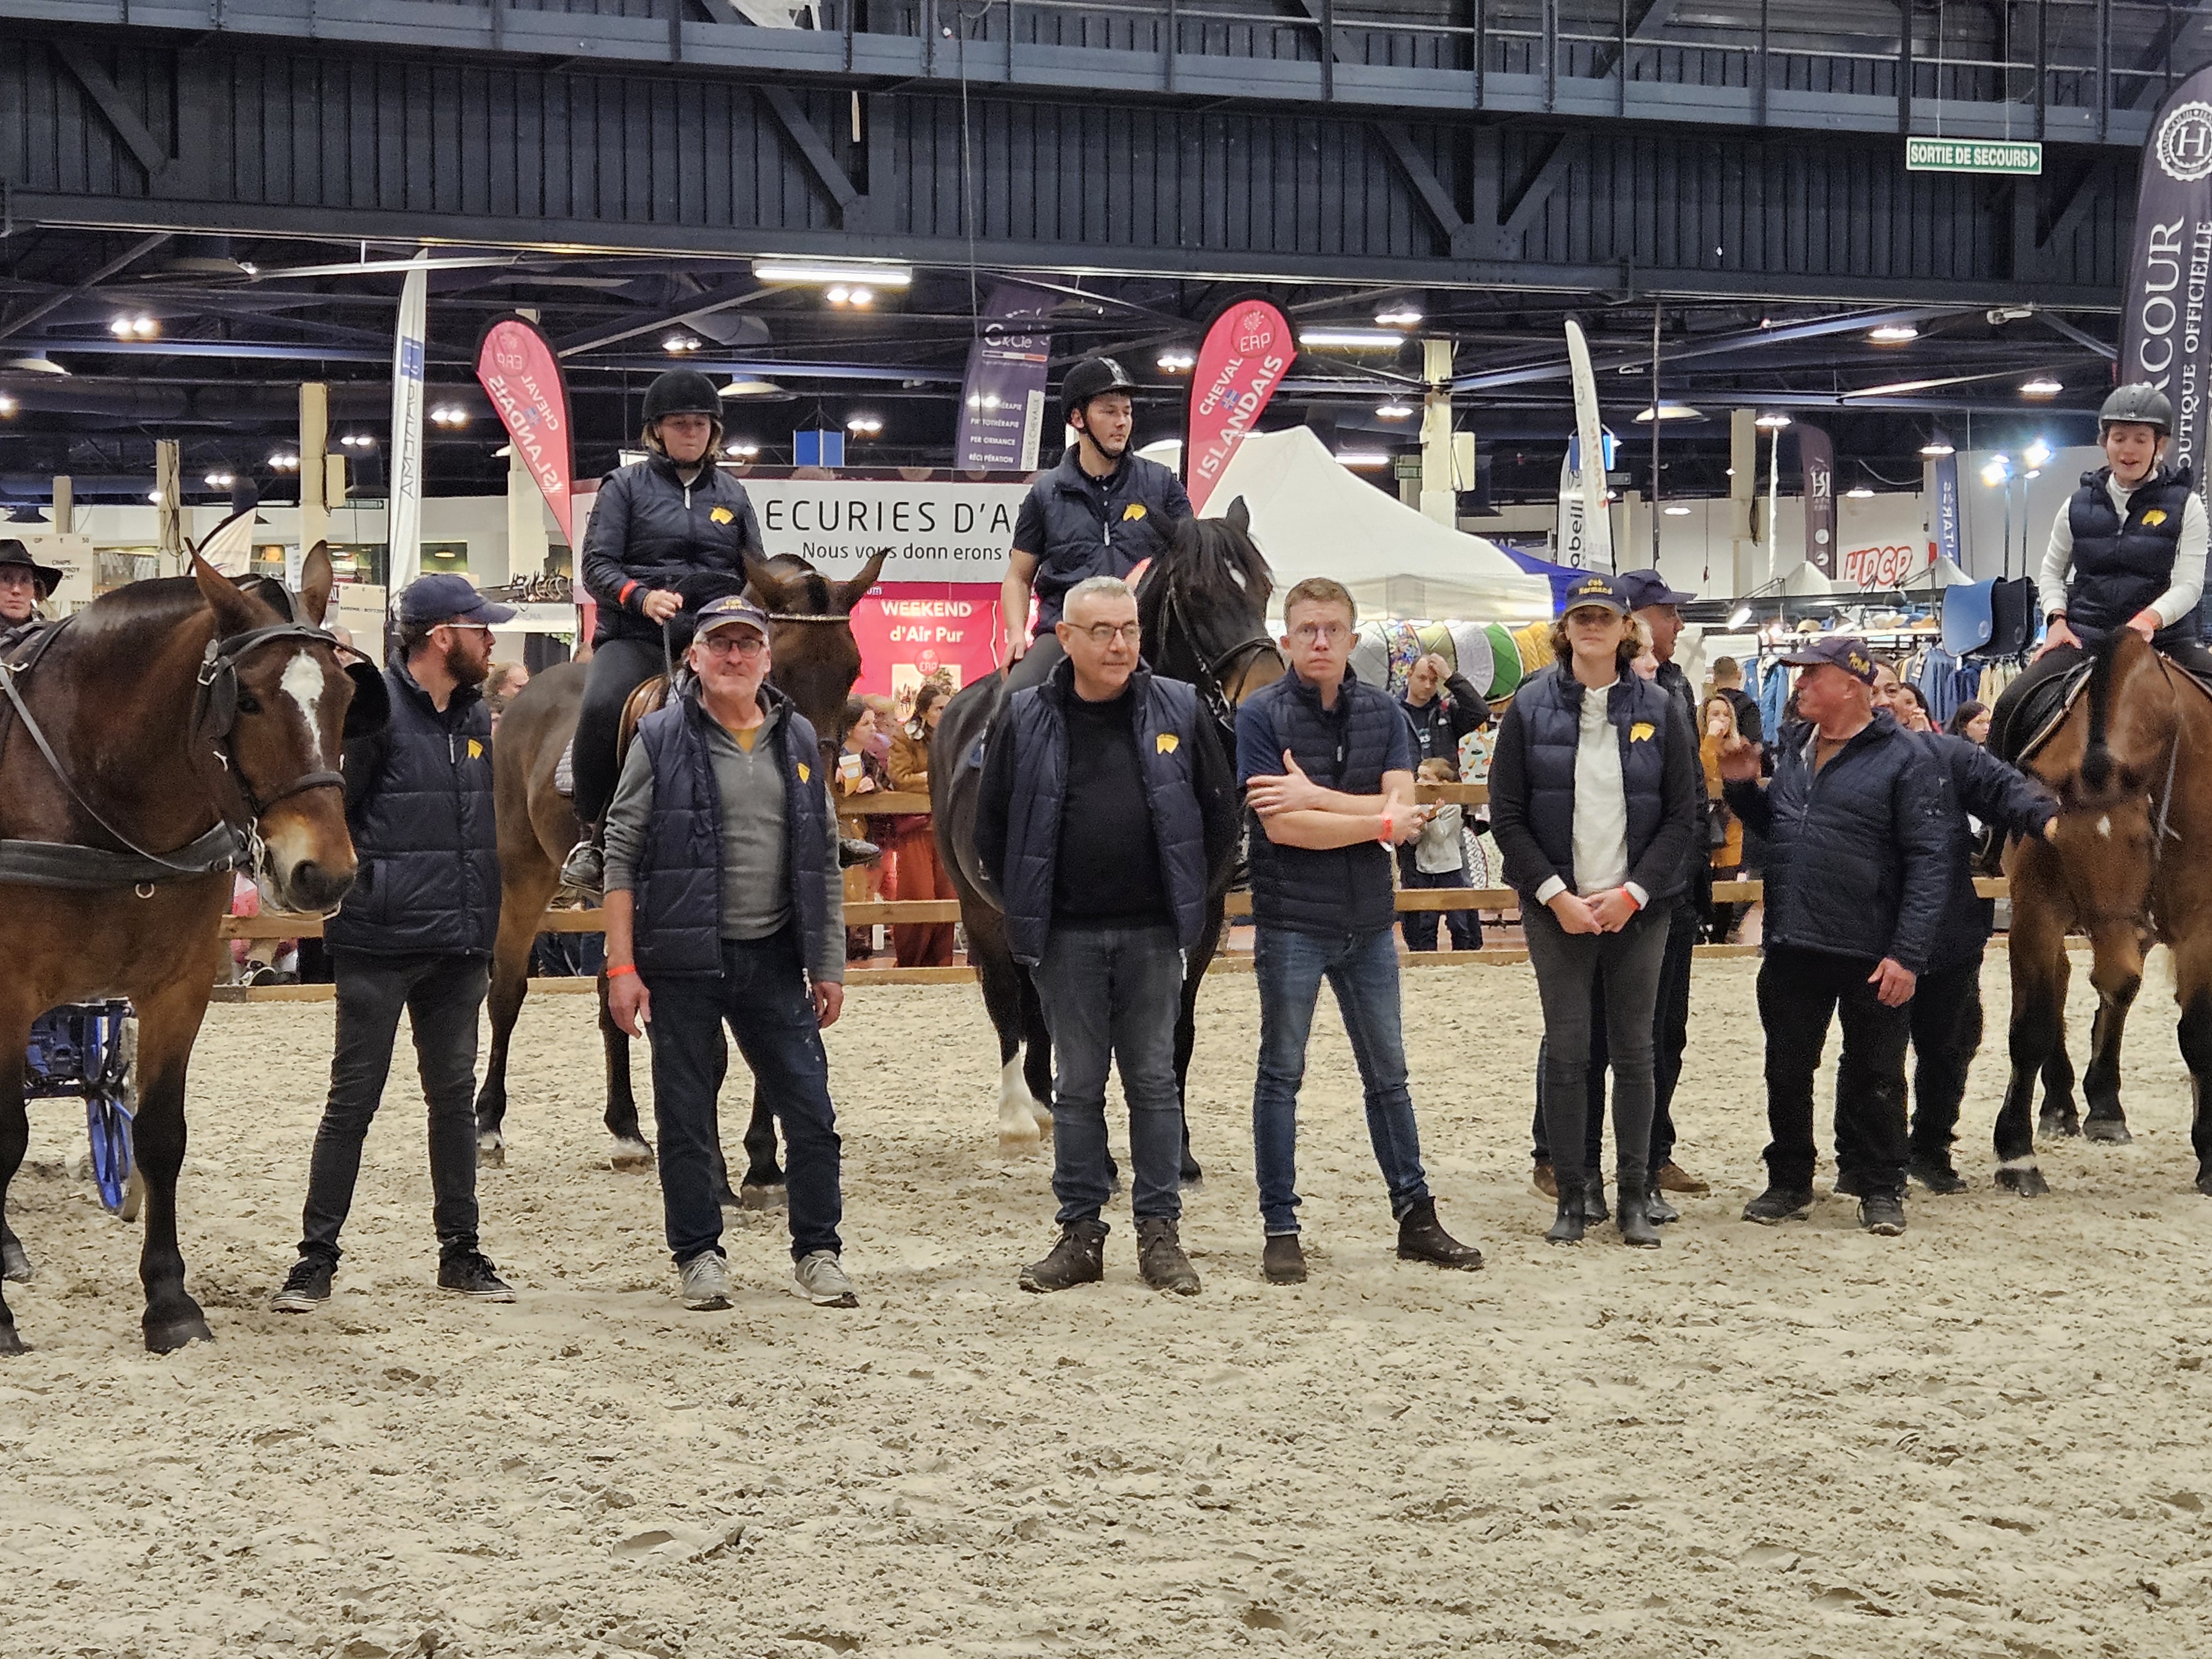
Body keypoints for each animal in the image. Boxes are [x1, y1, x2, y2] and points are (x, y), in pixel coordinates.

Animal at [2, 553, 363, 1354]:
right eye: (248, 701)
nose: (322, 873)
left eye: (346, 693)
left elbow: (161, 1138)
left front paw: (169, 1304)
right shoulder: (6, 995)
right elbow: (3, 1136)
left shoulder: (178, 988)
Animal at [471, 549, 885, 1186]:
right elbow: (709, 1048)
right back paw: (489, 1125)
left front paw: (763, 1162)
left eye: (853, 670)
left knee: (608, 998)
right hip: (523, 877)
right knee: (508, 991)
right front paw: (718, 1169)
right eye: (783, 666)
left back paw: (628, 1131)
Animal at [929, 500, 1283, 1159]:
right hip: (979, 906)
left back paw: (1043, 1103)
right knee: (1006, 999)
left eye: (1265, 590)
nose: (1262, 694)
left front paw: (1180, 1150)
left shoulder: (1203, 913)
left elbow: (1177, 1032)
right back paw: (1018, 1116)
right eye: (1198, 594)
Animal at [1991, 633, 2212, 1194]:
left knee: (2117, 997)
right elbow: (2031, 1027)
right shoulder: (2037, 910)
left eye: (2143, 840)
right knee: (2070, 984)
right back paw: (2063, 1106)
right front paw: (2017, 1156)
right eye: (2058, 841)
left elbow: (2197, 1030)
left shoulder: (2199, 921)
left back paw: (2106, 1107)